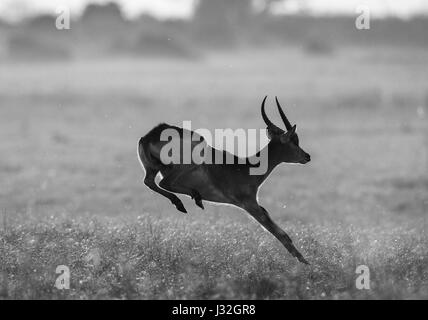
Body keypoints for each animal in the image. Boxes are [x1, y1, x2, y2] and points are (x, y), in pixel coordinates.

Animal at [140, 96, 310, 264]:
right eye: (294, 140)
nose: (307, 156)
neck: (246, 167)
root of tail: (149, 137)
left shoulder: (256, 205)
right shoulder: (249, 203)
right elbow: (279, 232)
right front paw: (305, 262)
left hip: (152, 169)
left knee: (149, 181)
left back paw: (189, 201)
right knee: (164, 182)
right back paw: (192, 199)